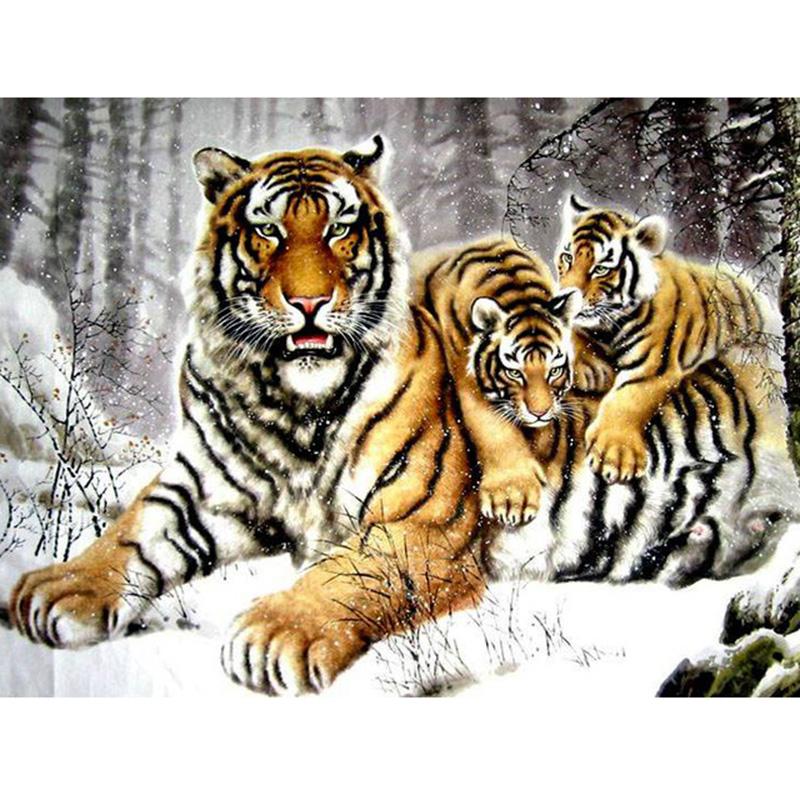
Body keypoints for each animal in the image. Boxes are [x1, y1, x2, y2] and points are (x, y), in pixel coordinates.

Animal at [9, 136, 489, 694]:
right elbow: (130, 532)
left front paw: (277, 633)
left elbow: (347, 570)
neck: (300, 405)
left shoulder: (426, 524)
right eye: (268, 230)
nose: (309, 302)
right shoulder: (200, 491)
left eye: (338, 229)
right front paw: (62, 586)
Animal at [413, 237, 613, 525]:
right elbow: (493, 428)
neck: (518, 293)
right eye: (514, 373)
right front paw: (510, 497)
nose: (540, 413)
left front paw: (592, 367)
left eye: (554, 370)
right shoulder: (465, 371)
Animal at [554, 193, 779, 485]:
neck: (608, 325)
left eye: (601, 268)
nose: (563, 298)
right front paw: (591, 370)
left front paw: (615, 456)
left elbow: (629, 399)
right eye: (567, 257)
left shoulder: (655, 365)